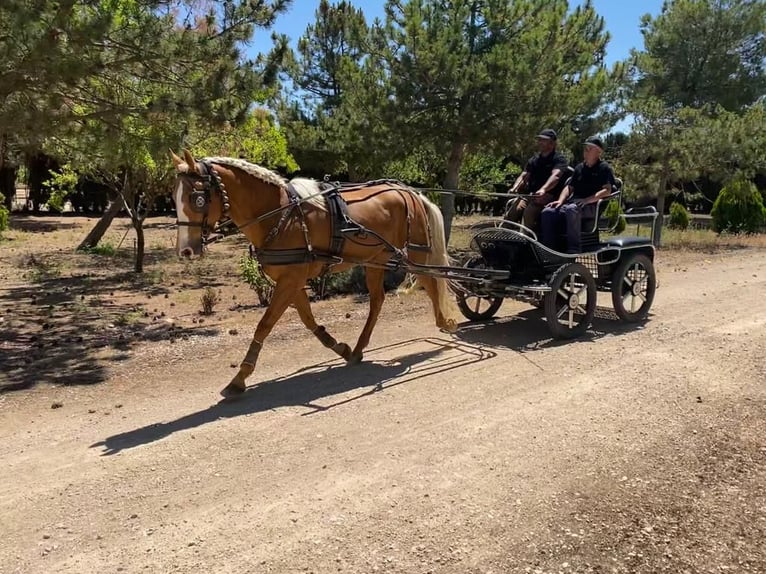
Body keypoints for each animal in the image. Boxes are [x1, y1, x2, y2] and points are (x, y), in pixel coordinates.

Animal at [170, 149, 460, 398]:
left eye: (197, 198)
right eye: (174, 197)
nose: (185, 250)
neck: (283, 216)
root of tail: (411, 192)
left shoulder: (290, 280)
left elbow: (264, 324)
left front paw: (240, 377)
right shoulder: (292, 280)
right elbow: (308, 320)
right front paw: (340, 348)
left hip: (416, 254)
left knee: (432, 283)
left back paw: (445, 322)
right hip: (375, 260)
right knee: (378, 300)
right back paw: (358, 348)